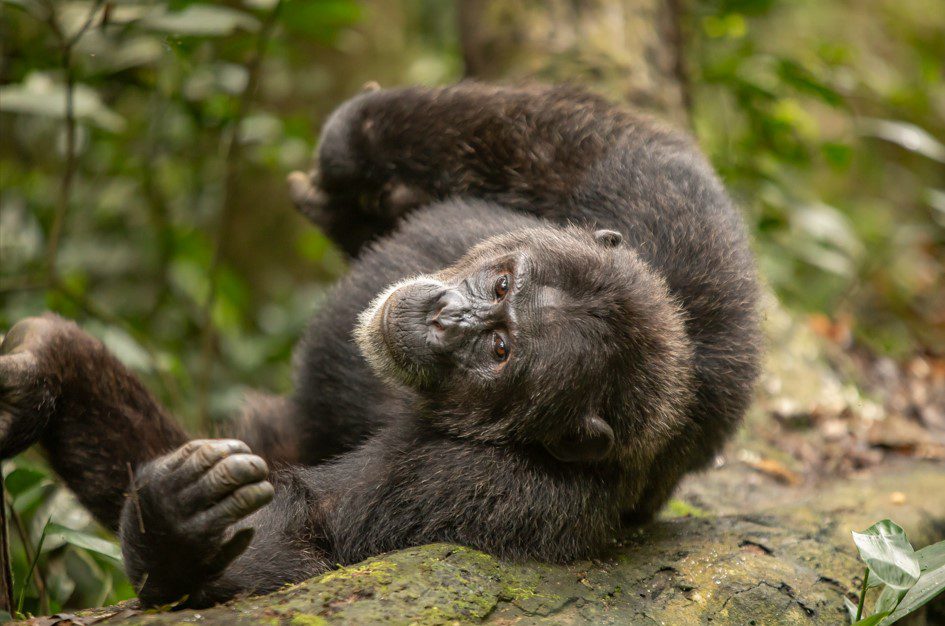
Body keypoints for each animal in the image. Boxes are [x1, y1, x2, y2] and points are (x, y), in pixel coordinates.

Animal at [0, 83, 761, 608]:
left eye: (500, 352)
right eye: (503, 283)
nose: (448, 319)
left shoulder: (486, 492)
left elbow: (312, 546)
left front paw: (175, 531)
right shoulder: (677, 228)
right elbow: (598, 143)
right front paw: (356, 145)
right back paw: (39, 367)